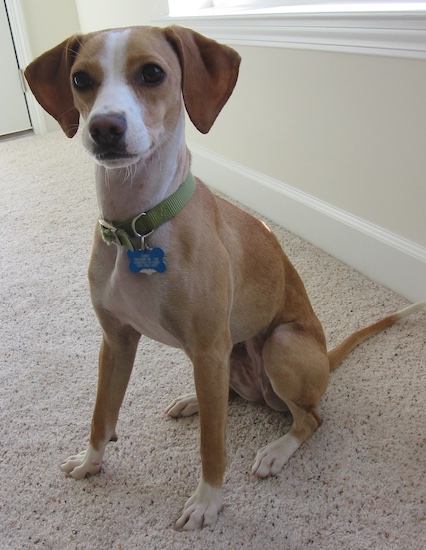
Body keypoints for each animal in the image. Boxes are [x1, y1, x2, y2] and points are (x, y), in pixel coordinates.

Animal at [24, 24, 426, 532]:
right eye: (80, 79)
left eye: (152, 73)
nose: (104, 128)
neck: (139, 224)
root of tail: (325, 358)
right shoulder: (116, 341)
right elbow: (102, 415)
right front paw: (91, 462)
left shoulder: (209, 347)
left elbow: (212, 444)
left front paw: (207, 502)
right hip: (220, 360)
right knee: (229, 398)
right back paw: (193, 401)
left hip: (277, 346)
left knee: (309, 419)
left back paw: (276, 450)